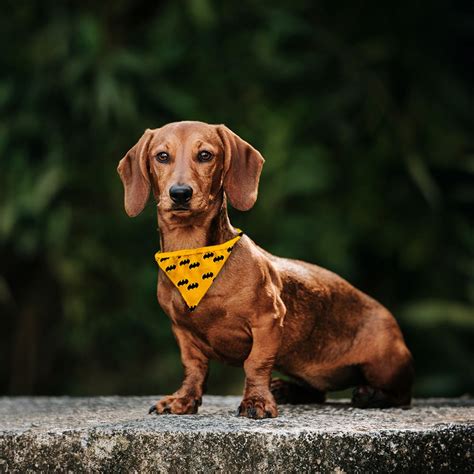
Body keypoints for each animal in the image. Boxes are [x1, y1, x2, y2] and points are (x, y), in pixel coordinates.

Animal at [117, 119, 412, 418]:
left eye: (205, 155)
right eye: (162, 156)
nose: (180, 194)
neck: (192, 255)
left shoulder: (268, 320)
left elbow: (256, 363)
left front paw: (256, 401)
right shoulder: (183, 332)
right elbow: (194, 368)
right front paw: (183, 399)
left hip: (385, 363)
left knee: (402, 395)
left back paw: (371, 395)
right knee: (318, 391)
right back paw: (288, 390)